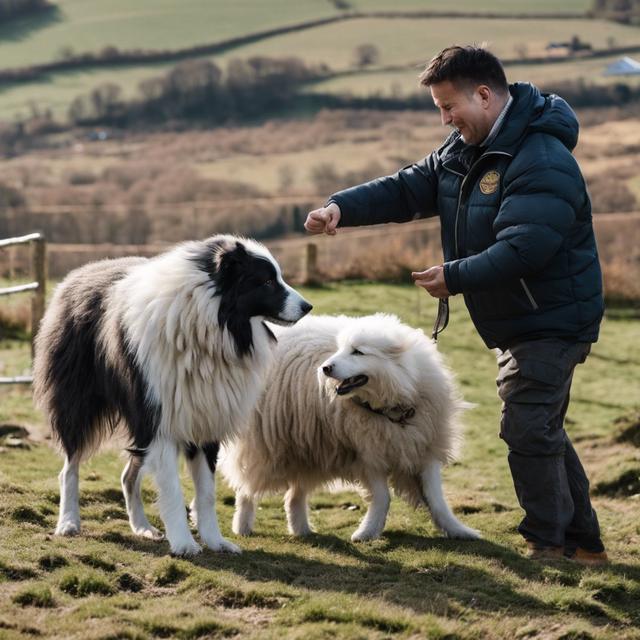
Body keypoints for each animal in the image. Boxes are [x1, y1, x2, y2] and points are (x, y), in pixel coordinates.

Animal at [34, 235, 312, 556]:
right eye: (266, 281)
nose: (308, 306)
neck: (211, 320)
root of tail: (77, 274)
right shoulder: (160, 421)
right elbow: (172, 489)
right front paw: (183, 543)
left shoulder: (206, 421)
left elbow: (206, 493)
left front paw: (215, 541)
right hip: (79, 406)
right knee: (70, 467)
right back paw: (68, 522)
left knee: (128, 476)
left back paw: (142, 526)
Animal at [222, 314, 478, 540]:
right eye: (341, 348)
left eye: (358, 351)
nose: (325, 368)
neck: (393, 408)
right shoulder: (369, 455)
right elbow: (382, 497)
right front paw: (367, 532)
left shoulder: (424, 448)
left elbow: (436, 498)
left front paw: (458, 530)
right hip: (266, 444)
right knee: (246, 489)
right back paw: (242, 526)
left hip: (306, 446)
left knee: (294, 495)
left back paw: (301, 530)